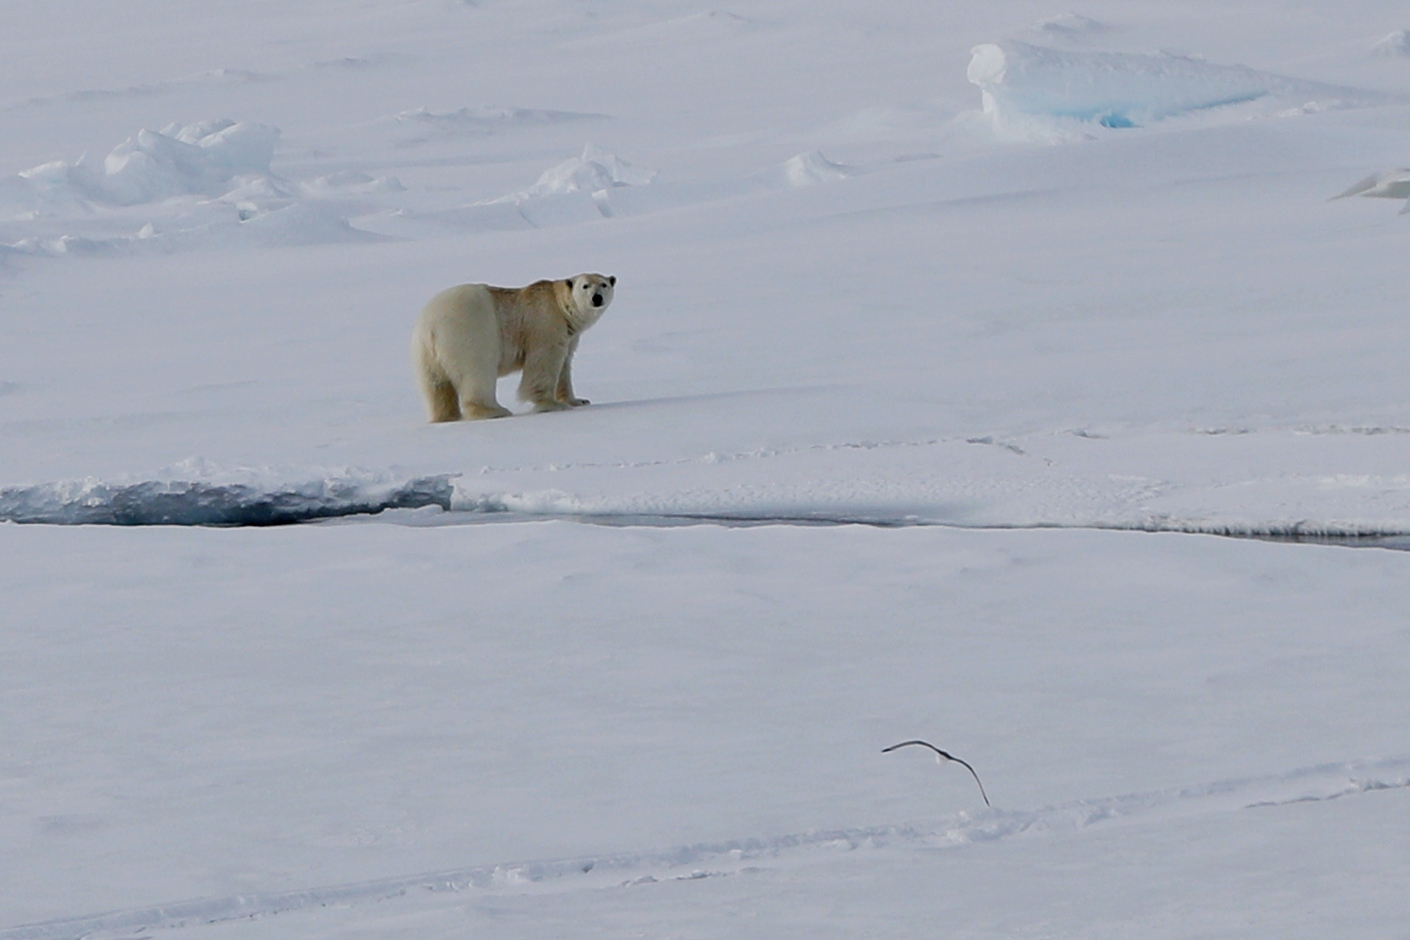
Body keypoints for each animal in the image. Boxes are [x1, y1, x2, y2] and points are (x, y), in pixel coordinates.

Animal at [411, 271, 614, 419]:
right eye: (585, 286)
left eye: (604, 284)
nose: (597, 298)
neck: (559, 305)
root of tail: (431, 326)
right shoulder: (545, 323)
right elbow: (544, 361)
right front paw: (552, 404)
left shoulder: (569, 335)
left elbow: (565, 365)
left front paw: (578, 401)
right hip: (470, 332)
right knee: (478, 373)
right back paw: (495, 411)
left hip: (423, 351)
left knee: (435, 385)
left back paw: (446, 416)